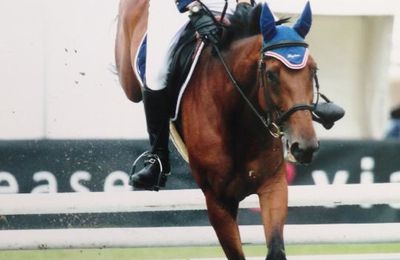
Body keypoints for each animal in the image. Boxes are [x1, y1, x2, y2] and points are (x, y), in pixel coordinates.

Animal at [115, 1, 344, 258]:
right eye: (271, 75)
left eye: (313, 70)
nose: (304, 147)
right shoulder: (218, 201)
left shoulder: (273, 186)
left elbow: (276, 249)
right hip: (130, 76)